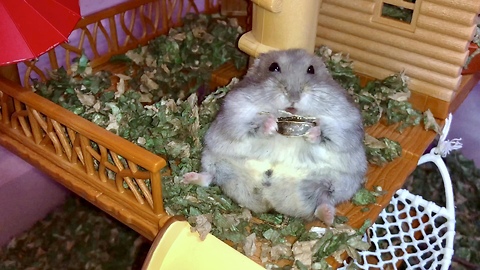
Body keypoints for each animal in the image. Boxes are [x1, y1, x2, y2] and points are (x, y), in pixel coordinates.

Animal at [185, 48, 368, 226]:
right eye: (273, 67)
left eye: (311, 70)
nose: (293, 96)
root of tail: (270, 201)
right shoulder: (235, 112)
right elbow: (252, 125)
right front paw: (271, 124)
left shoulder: (344, 124)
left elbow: (330, 135)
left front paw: (311, 133)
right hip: (213, 159)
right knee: (211, 177)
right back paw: (187, 178)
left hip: (339, 184)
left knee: (324, 200)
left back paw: (329, 218)